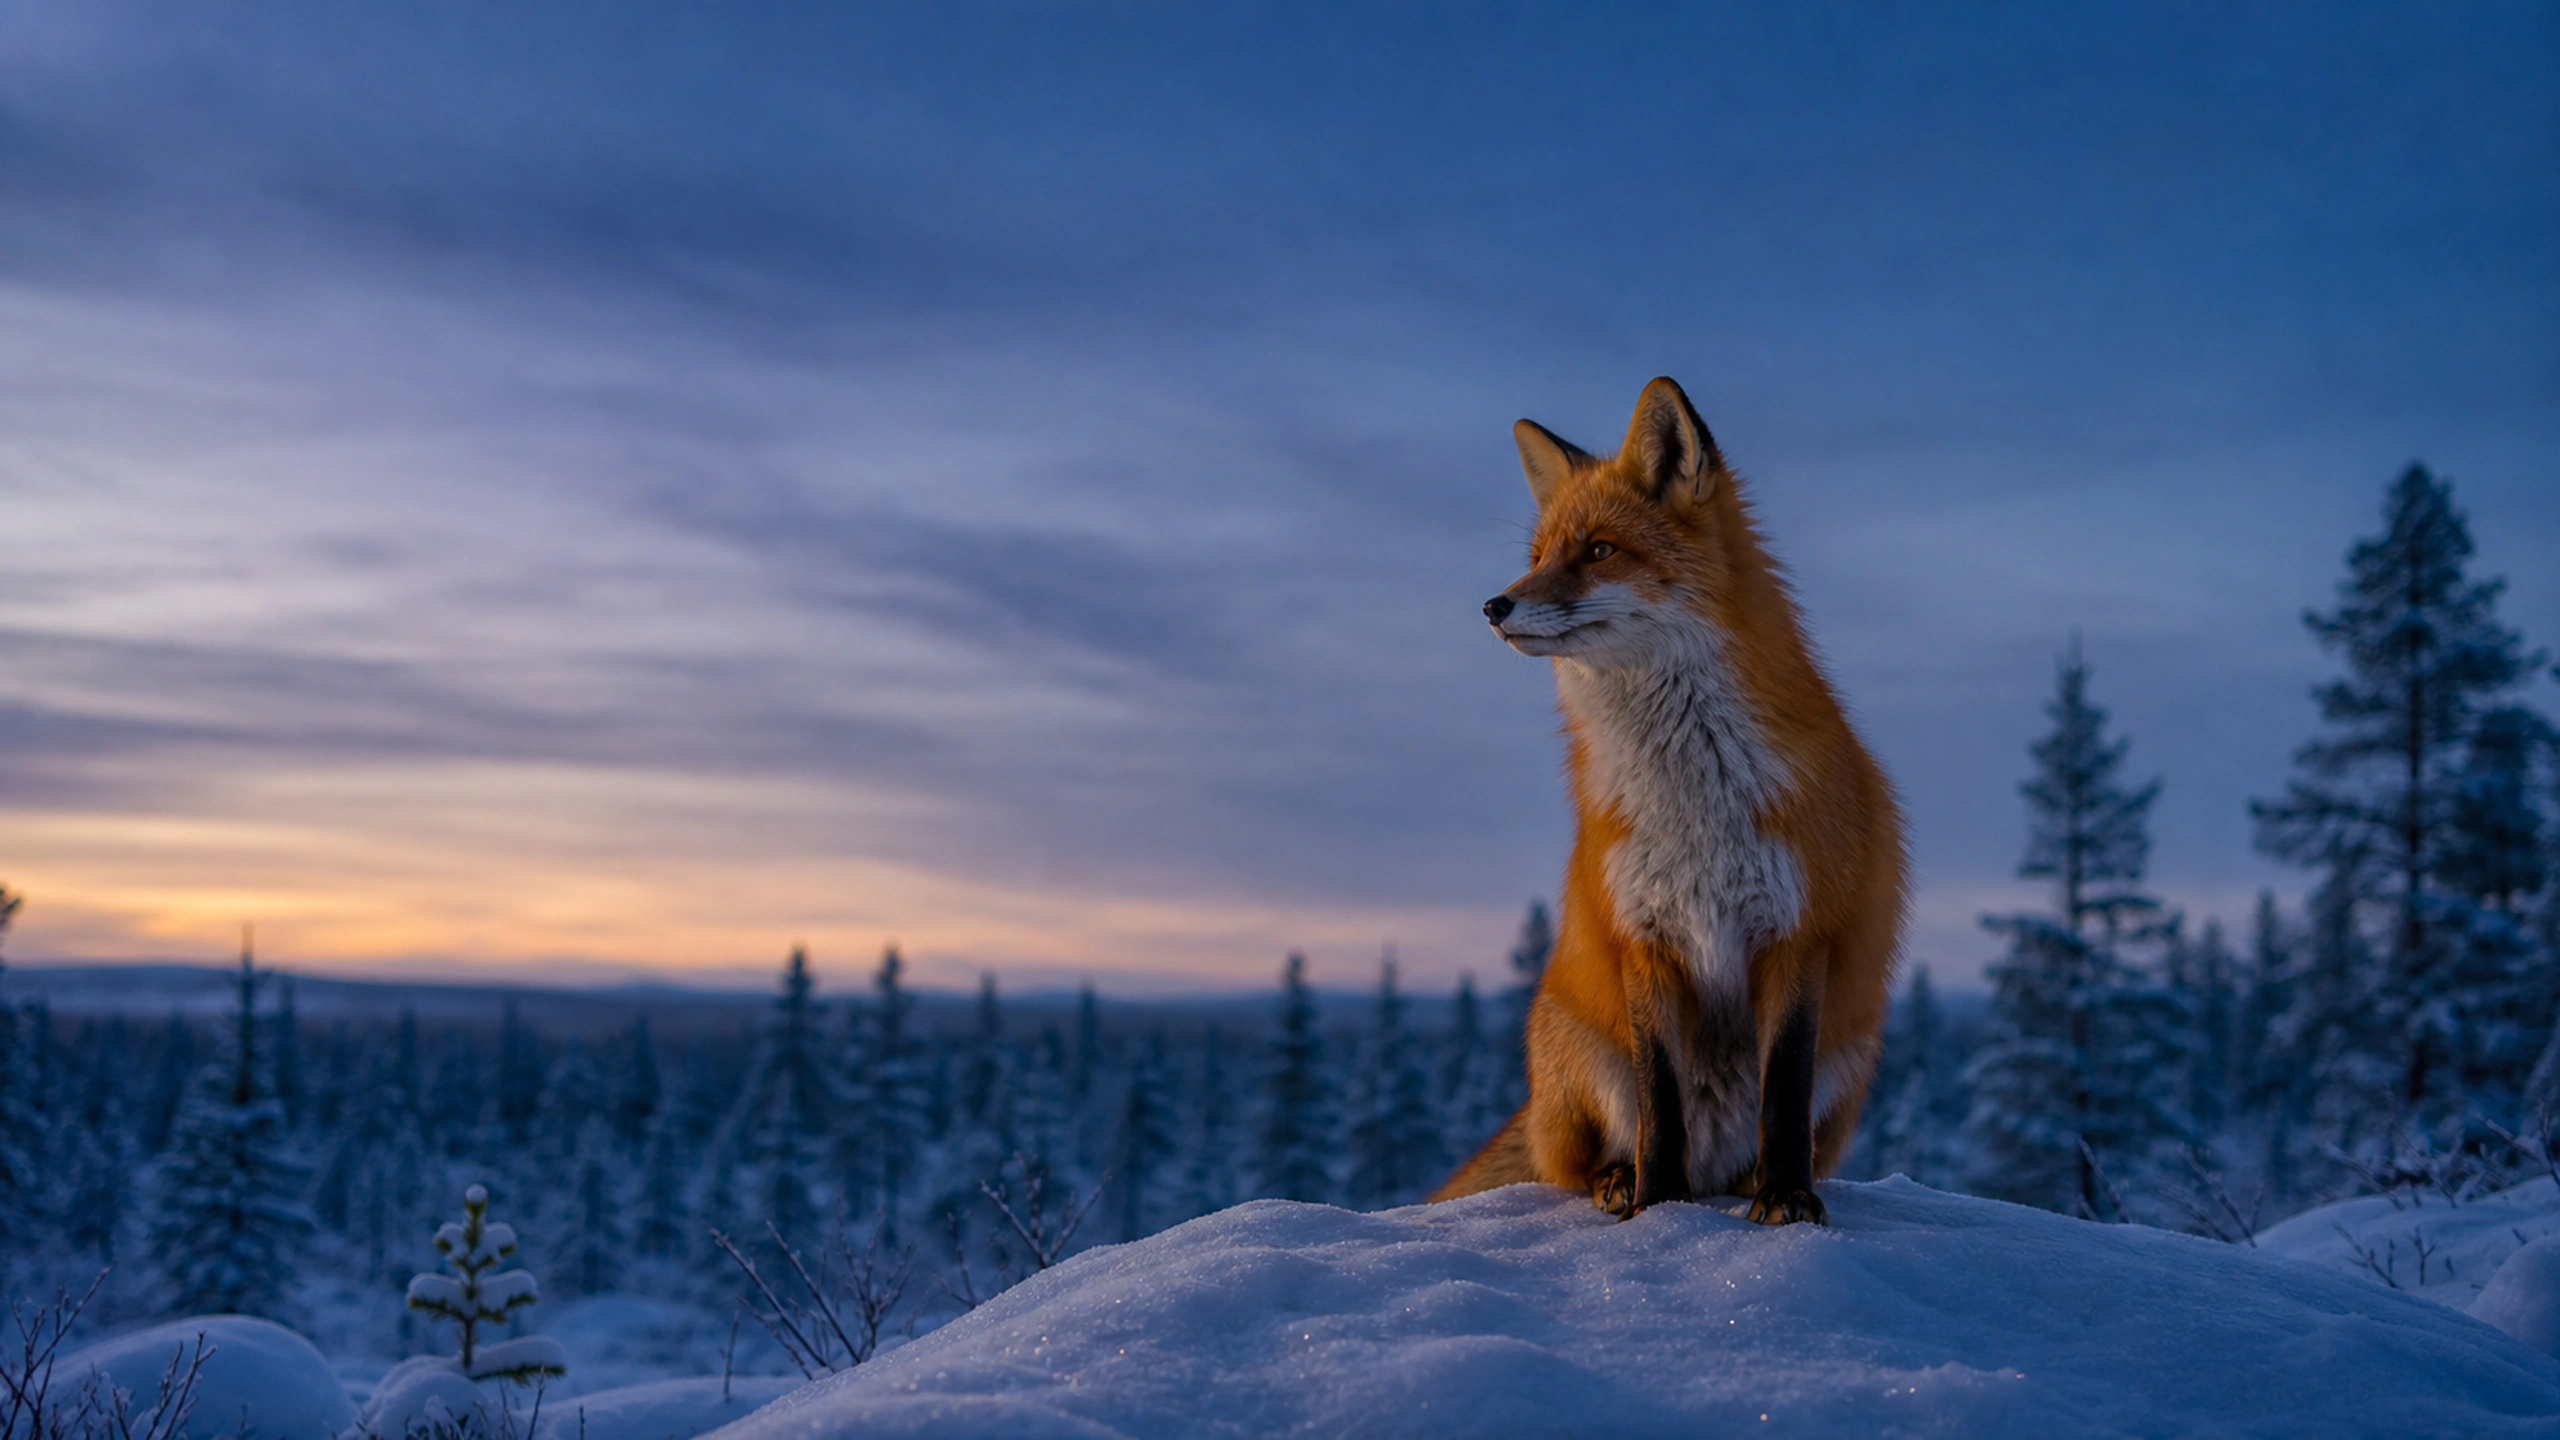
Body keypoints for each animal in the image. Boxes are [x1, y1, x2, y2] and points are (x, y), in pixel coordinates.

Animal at [1431, 376, 1905, 1226]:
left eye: (1597, 551)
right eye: (1537, 558)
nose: (1493, 606)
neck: (1693, 798)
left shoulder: (1797, 932)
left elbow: (1784, 1093)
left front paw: (1788, 1196)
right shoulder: (1644, 934)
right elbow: (1661, 1101)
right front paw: (1658, 1203)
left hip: (1852, 1059)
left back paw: (1750, 1182)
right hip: (1583, 1050)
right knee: (1579, 1162)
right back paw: (1620, 1181)